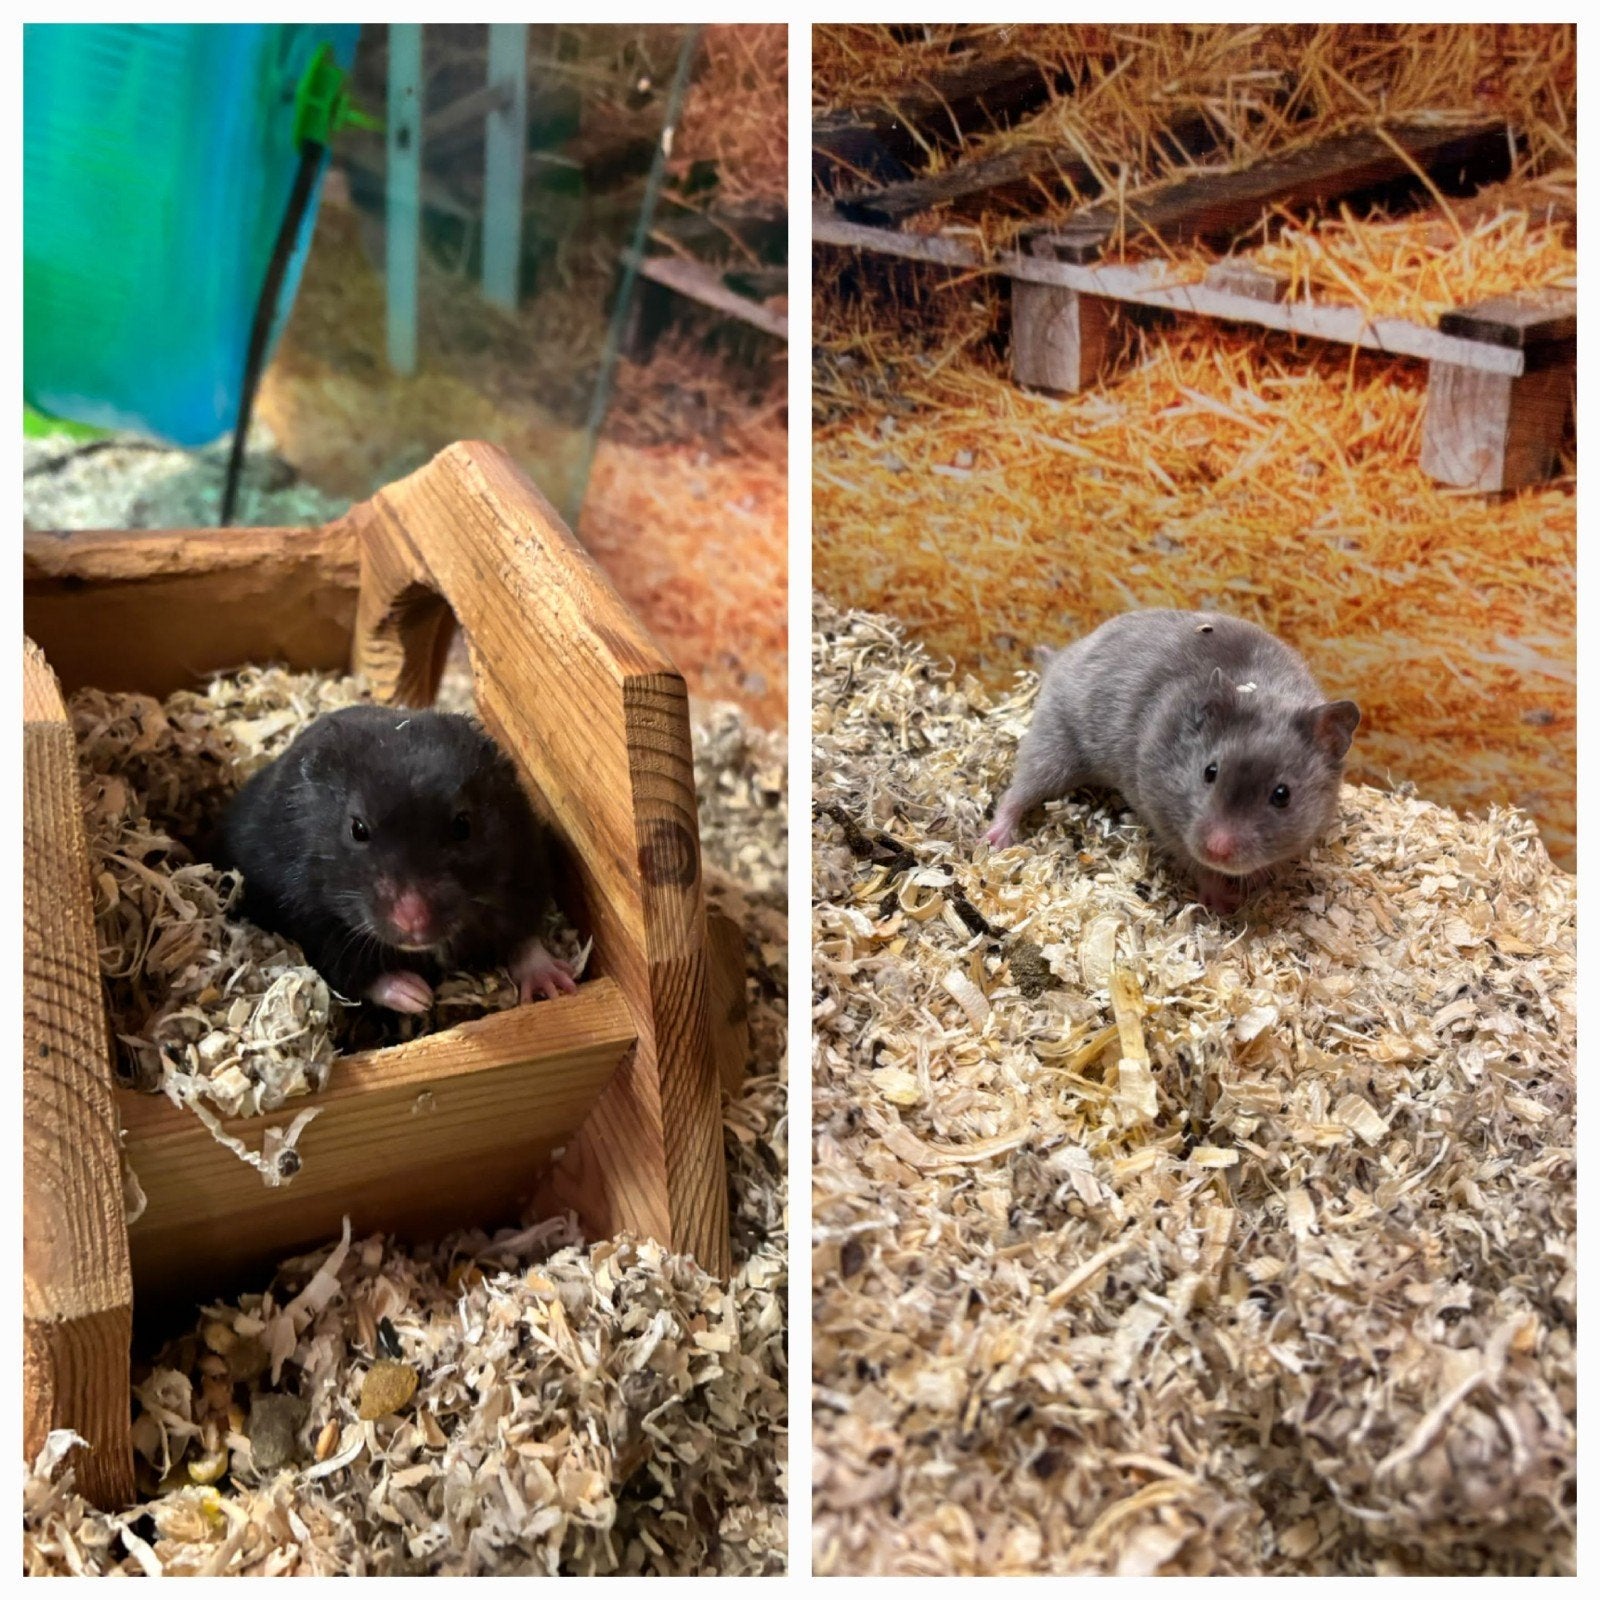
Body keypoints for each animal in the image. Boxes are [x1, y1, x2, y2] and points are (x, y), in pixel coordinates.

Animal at [216, 705, 577, 1013]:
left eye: (463, 826)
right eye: (357, 829)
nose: (414, 924)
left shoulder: (524, 869)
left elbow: (524, 939)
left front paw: (557, 986)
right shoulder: (309, 921)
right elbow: (355, 974)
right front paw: (419, 997)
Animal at [986, 610, 1360, 912]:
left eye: (1282, 795)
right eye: (1209, 772)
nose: (1217, 849)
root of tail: (1060, 658)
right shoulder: (1166, 821)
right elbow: (1198, 867)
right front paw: (1224, 904)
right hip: (1054, 743)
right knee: (1016, 793)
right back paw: (995, 842)